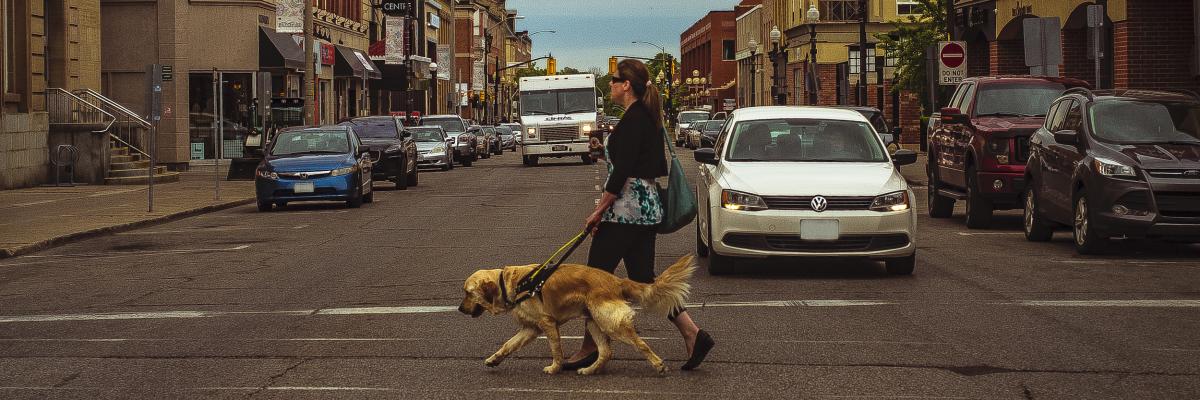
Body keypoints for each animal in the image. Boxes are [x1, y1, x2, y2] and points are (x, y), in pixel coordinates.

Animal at [456, 253, 700, 372]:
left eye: (467, 293)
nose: (459, 309)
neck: (515, 284)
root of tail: (616, 280)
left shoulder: (547, 323)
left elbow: (556, 350)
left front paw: (555, 368)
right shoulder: (531, 328)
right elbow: (508, 345)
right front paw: (493, 360)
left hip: (608, 322)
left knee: (640, 344)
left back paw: (659, 365)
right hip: (594, 321)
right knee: (605, 352)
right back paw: (589, 370)